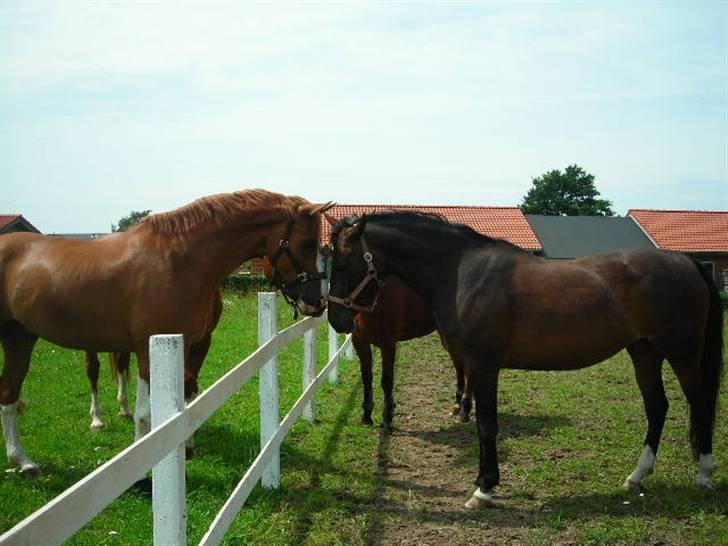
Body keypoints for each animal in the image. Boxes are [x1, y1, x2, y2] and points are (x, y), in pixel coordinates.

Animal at [0, 189, 332, 474]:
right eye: (308, 243)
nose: (317, 302)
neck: (179, 260)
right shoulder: (151, 353)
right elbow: (149, 417)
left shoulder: (186, 348)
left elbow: (183, 400)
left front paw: (185, 448)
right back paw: (93, 422)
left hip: (20, 339)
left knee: (8, 393)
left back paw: (23, 462)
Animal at [328, 211, 724, 506]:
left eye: (342, 262)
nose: (337, 319)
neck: (461, 272)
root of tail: (685, 261)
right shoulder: (474, 365)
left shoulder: (483, 366)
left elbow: (487, 424)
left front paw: (484, 488)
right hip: (644, 351)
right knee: (657, 406)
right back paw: (637, 476)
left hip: (682, 352)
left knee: (700, 402)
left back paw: (704, 473)